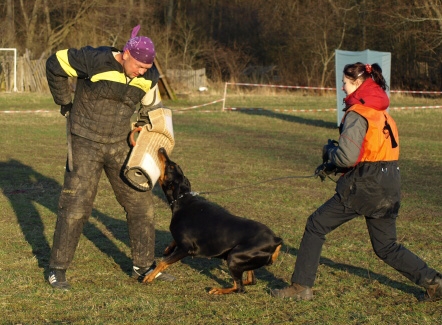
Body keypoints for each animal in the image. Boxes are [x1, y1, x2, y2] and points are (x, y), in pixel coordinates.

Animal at [145, 147, 284, 294]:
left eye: (171, 166)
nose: (161, 149)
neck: (182, 201)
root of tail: (276, 240)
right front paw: (168, 248)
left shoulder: (186, 248)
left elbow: (163, 262)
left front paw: (149, 277)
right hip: (244, 259)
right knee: (250, 281)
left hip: (234, 257)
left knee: (240, 288)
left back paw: (218, 290)